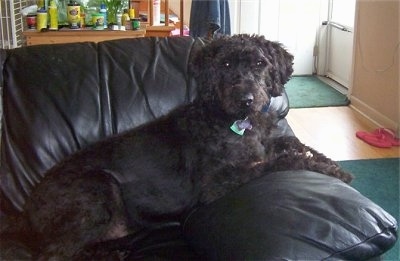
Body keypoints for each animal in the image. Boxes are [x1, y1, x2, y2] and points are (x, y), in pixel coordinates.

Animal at [7, 34, 352, 258]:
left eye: (259, 63)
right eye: (226, 65)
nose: (247, 99)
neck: (231, 120)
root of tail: (24, 214)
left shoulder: (266, 142)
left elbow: (289, 141)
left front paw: (329, 164)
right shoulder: (216, 184)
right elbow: (278, 160)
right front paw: (320, 167)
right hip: (99, 185)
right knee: (53, 255)